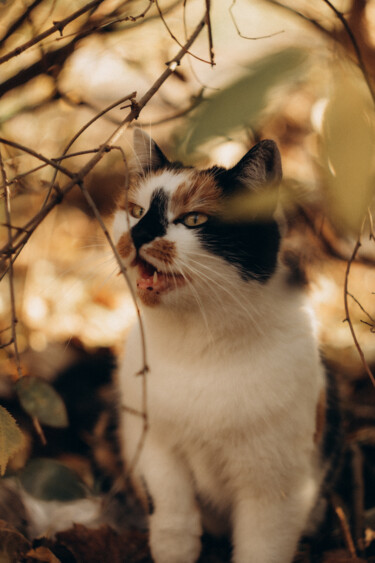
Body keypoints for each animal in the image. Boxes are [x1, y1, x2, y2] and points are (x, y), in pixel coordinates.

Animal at [111, 130, 332, 563]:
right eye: (135, 211)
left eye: (194, 219)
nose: (138, 235)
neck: (199, 346)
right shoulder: (157, 448)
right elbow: (172, 516)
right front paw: (175, 546)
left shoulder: (277, 491)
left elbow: (262, 548)